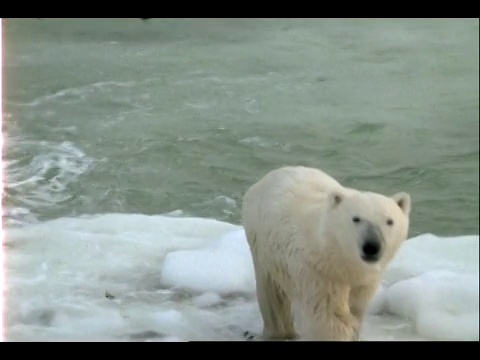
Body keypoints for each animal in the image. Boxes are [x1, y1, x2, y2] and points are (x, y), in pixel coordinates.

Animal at [242, 166, 410, 340]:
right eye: (356, 219)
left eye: (389, 221)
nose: (371, 246)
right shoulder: (317, 272)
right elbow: (329, 318)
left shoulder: (364, 281)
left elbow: (357, 308)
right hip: (262, 245)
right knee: (272, 294)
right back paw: (279, 333)